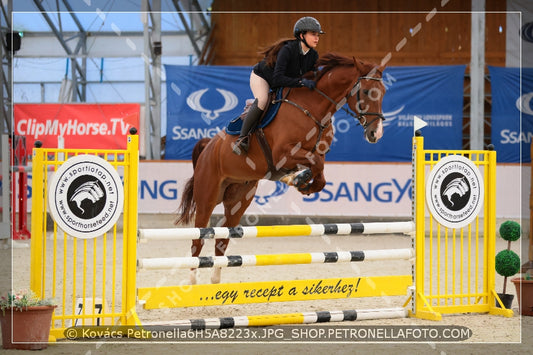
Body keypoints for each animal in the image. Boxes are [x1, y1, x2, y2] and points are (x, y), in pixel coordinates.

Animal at [177, 52, 384, 286]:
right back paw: (193, 280)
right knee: (198, 238)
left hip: (238, 200)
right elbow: (316, 163)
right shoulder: (282, 154)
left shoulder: (311, 154)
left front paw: (303, 183)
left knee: (223, 237)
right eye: (367, 92)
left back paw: (215, 279)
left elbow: (319, 170)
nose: (376, 133)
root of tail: (208, 147)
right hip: (207, 197)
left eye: (384, 92)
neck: (314, 108)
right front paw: (301, 181)